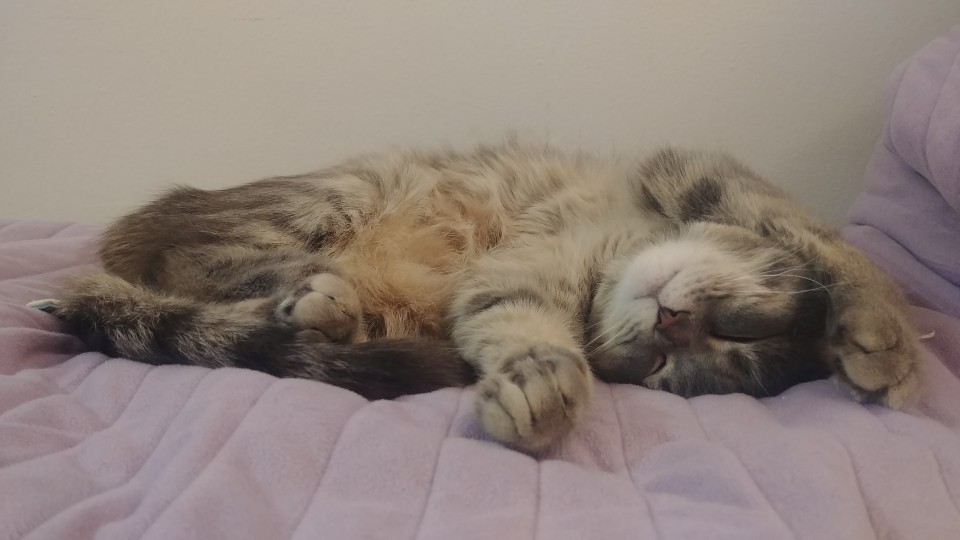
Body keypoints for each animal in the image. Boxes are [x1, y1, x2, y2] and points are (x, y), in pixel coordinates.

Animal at [55, 143, 919, 451]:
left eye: (662, 373)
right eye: (740, 327)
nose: (673, 323)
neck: (607, 261)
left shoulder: (498, 289)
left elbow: (519, 330)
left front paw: (541, 392)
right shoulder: (693, 169)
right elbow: (831, 246)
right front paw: (886, 340)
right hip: (335, 194)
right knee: (207, 256)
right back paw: (315, 292)